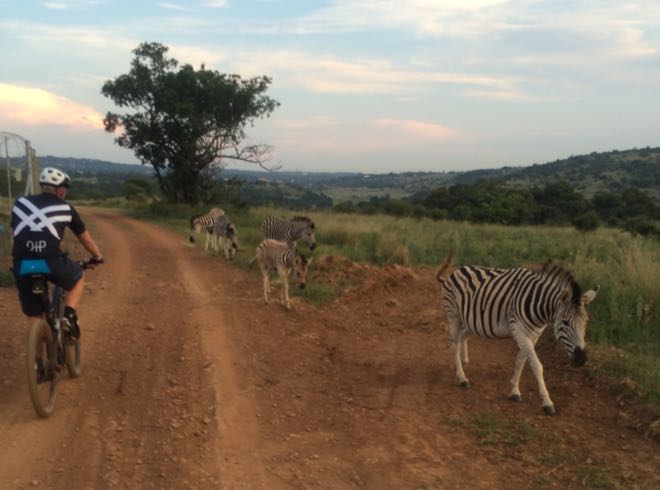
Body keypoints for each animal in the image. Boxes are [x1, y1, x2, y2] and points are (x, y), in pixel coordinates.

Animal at [438, 253, 600, 418]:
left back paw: (463, 361)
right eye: (565, 322)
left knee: (462, 337)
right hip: (454, 315)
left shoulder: (534, 335)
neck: (539, 307)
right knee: (454, 343)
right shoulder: (520, 331)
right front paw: (547, 402)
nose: (581, 360)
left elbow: (521, 361)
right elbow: (537, 366)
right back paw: (461, 377)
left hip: (473, 320)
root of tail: (458, 269)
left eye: (586, 322)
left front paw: (514, 390)